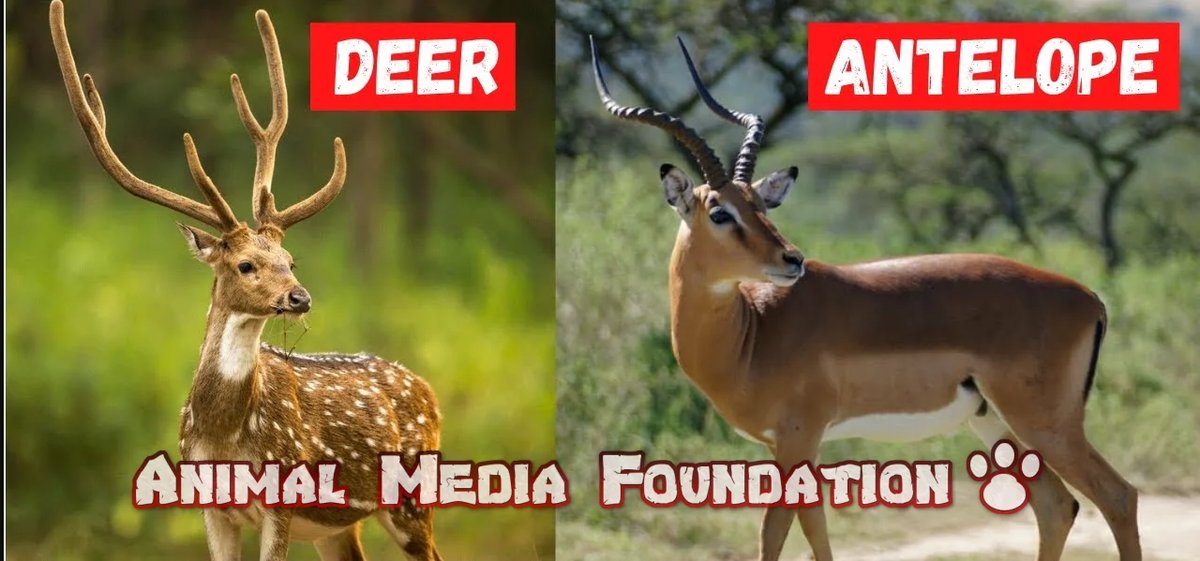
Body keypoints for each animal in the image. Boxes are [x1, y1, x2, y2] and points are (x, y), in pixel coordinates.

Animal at [50, 2, 442, 559]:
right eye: (246, 265)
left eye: (290, 259)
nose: (299, 297)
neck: (224, 438)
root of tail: (428, 391)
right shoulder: (211, 507)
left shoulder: (283, 497)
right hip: (338, 527)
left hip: (412, 498)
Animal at [590, 37, 1142, 561]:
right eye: (720, 211)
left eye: (761, 205)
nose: (793, 259)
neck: (753, 334)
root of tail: (1090, 299)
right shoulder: (800, 446)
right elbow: (815, 531)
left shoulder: (797, 438)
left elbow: (774, 533)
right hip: (995, 422)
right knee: (1057, 505)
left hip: (1045, 423)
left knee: (1118, 496)